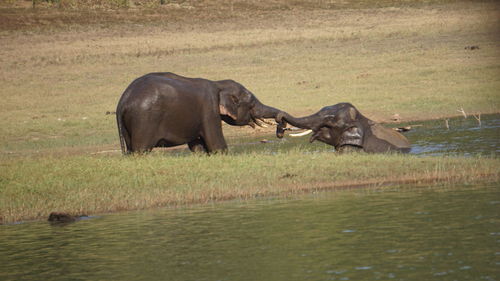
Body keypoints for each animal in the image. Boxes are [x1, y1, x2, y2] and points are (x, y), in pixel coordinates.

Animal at [115, 71, 284, 152]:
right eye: (251, 103)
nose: (280, 131)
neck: (218, 84)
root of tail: (122, 101)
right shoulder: (209, 109)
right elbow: (217, 145)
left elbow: (197, 147)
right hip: (144, 120)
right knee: (140, 150)